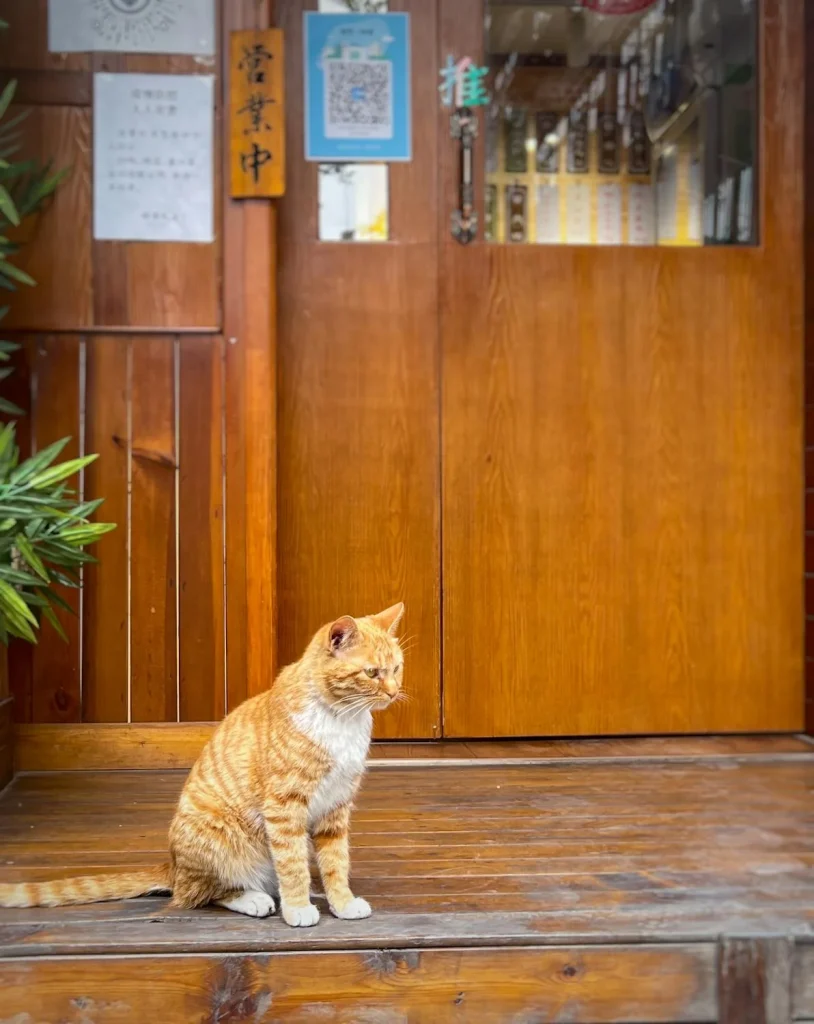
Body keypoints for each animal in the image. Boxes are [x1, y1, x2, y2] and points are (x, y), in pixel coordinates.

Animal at [0, 598, 405, 929]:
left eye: (397, 668)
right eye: (372, 673)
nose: (393, 692)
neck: (342, 720)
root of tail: (173, 866)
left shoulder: (337, 805)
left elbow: (336, 862)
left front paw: (342, 902)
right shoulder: (285, 806)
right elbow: (290, 864)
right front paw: (297, 906)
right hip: (219, 836)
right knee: (201, 894)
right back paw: (255, 899)